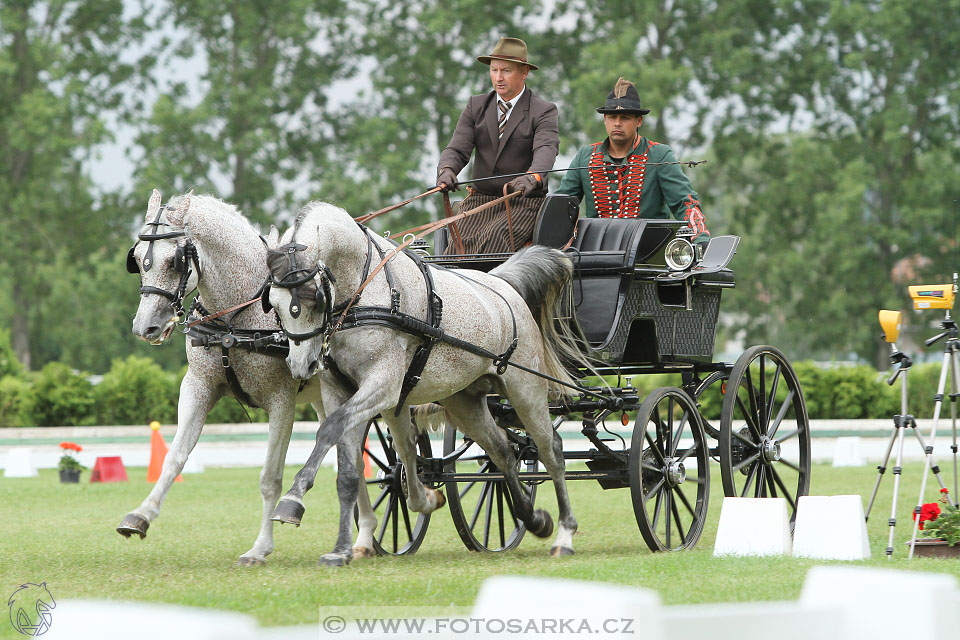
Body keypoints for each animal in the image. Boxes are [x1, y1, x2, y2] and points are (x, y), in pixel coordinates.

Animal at [124, 190, 382, 564]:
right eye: (138, 259)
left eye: (174, 261)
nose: (146, 328)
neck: (237, 317)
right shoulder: (198, 387)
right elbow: (174, 457)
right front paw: (140, 516)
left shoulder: (281, 401)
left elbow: (269, 477)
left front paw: (260, 547)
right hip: (328, 399)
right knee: (348, 453)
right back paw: (364, 536)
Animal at [266, 202, 588, 556]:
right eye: (274, 304)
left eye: (314, 296)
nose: (301, 365)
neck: (365, 293)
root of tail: (501, 284)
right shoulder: (339, 390)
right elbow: (346, 462)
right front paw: (340, 547)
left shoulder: (383, 386)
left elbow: (329, 429)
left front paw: (293, 500)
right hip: (464, 401)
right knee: (502, 451)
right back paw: (532, 519)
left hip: (525, 390)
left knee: (550, 449)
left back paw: (565, 533)